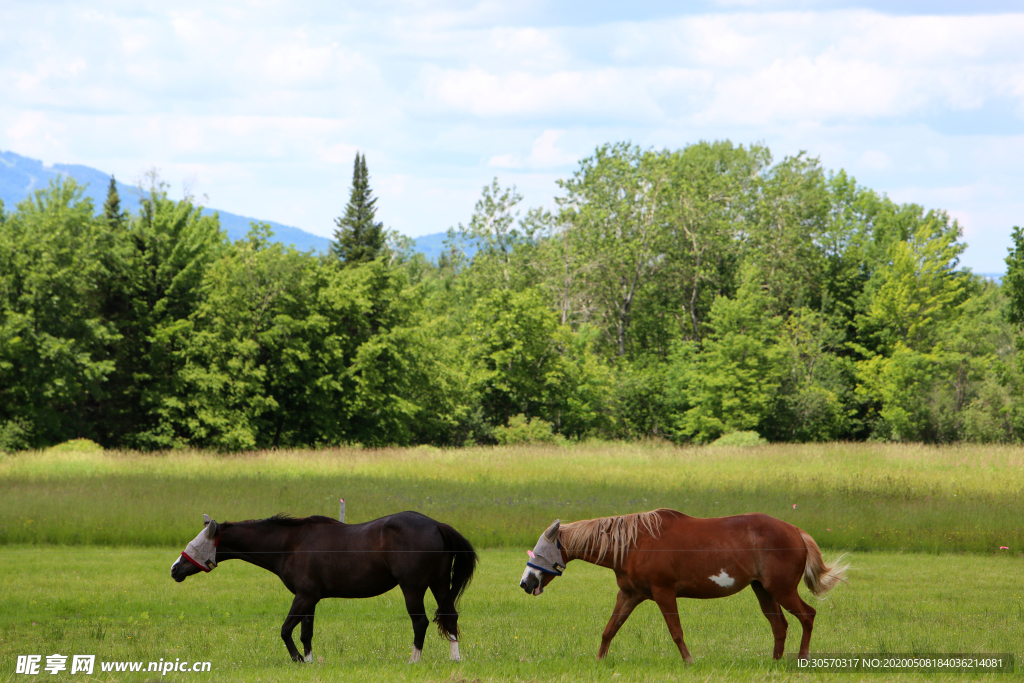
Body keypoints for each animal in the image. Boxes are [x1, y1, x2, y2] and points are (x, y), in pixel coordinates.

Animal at [174, 511, 477, 663]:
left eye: (198, 542)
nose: (175, 569)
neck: (290, 544)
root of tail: (436, 524)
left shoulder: (303, 597)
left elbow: (286, 630)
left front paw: (297, 659)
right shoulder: (310, 599)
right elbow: (306, 633)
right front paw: (308, 661)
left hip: (413, 588)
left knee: (420, 622)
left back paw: (414, 660)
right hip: (439, 584)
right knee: (449, 617)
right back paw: (455, 659)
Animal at [520, 507, 847, 663]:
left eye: (539, 552)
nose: (525, 583)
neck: (634, 543)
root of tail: (795, 530)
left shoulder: (664, 593)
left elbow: (676, 632)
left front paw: (689, 661)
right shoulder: (629, 595)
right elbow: (609, 630)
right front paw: (599, 662)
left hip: (782, 590)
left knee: (807, 616)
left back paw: (801, 659)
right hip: (763, 591)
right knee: (779, 626)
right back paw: (775, 663)